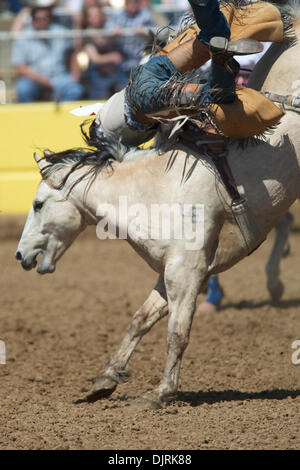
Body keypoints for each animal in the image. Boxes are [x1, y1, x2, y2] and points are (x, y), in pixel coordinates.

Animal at [15, 4, 300, 408]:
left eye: (38, 204)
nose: (19, 255)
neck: (153, 189)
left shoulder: (188, 270)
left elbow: (177, 331)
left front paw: (161, 392)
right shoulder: (169, 273)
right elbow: (140, 319)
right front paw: (105, 379)